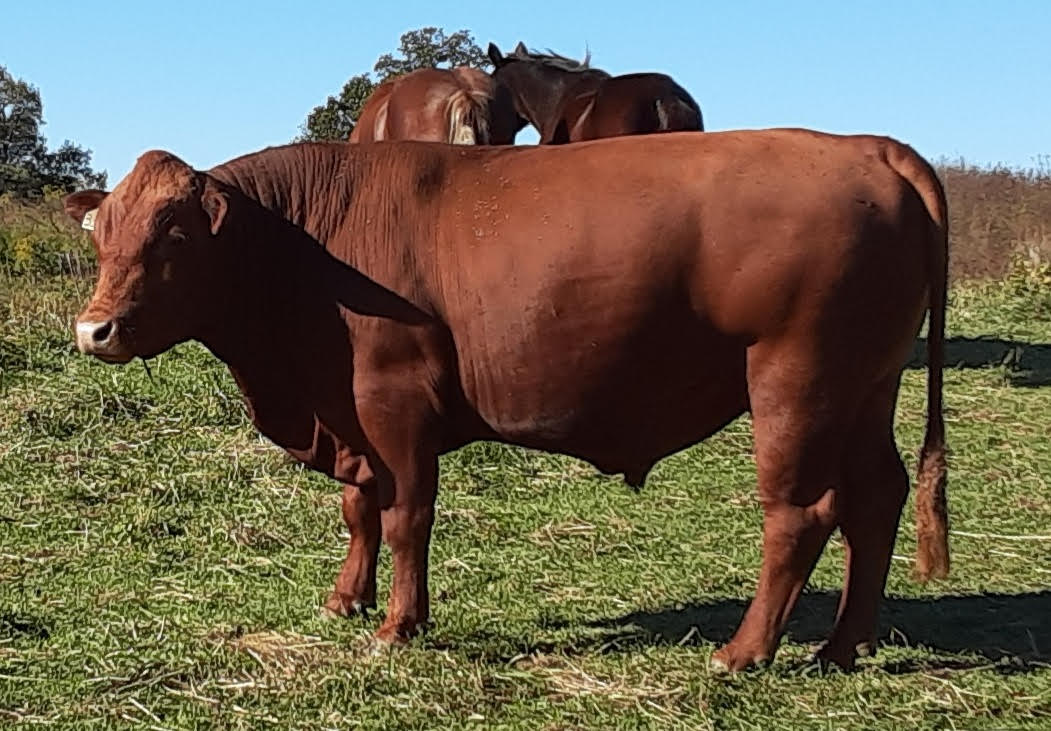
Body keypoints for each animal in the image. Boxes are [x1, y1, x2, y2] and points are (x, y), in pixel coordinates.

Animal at [65, 128, 949, 672]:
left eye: (174, 234)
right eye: (102, 234)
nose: (93, 328)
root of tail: (867, 147)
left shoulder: (394, 402)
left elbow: (404, 516)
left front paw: (397, 624)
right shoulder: (348, 415)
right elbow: (357, 508)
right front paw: (345, 599)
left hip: (797, 381)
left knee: (799, 514)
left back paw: (742, 652)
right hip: (866, 386)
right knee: (876, 499)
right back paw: (840, 648)